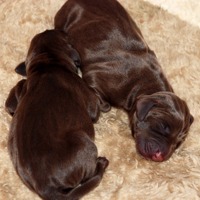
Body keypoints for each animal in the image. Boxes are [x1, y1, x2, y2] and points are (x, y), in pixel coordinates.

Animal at [5, 28, 108, 200]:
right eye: (65, 37)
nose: (61, 29)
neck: (47, 64)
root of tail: (46, 189)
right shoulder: (90, 99)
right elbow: (96, 100)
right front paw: (106, 104)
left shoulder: (19, 89)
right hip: (84, 142)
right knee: (92, 177)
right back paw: (101, 164)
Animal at [52, 0, 194, 162]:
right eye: (162, 126)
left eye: (178, 142)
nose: (160, 156)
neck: (146, 87)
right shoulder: (94, 78)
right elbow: (104, 103)